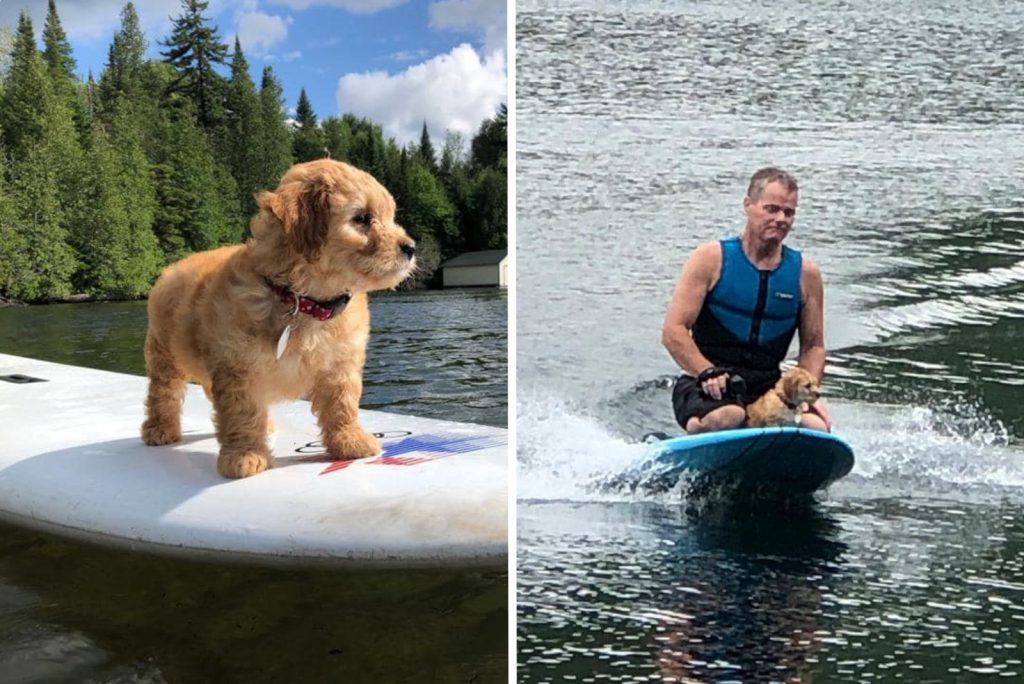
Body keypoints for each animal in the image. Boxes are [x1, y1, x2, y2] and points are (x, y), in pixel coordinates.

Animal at [140, 159, 415, 479]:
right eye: (362, 218)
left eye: (390, 216)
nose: (410, 248)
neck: (305, 301)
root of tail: (173, 267)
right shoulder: (238, 367)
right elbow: (241, 412)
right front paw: (245, 455)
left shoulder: (340, 363)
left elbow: (342, 403)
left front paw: (350, 441)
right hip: (163, 352)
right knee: (163, 393)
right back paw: (159, 429)